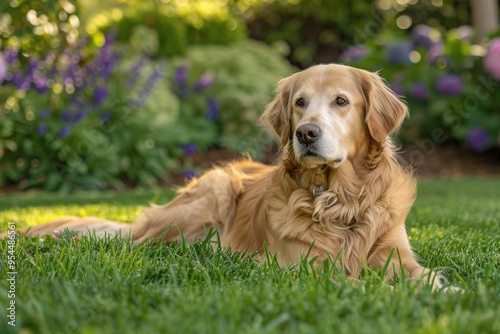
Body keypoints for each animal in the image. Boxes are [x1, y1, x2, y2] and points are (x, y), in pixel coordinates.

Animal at [10, 64, 450, 290]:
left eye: (341, 101)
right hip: (212, 191)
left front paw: (450, 295)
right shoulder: (307, 268)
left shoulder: (397, 256)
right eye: (300, 102)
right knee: (141, 243)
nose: (305, 133)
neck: (341, 200)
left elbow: (428, 278)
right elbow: (363, 285)